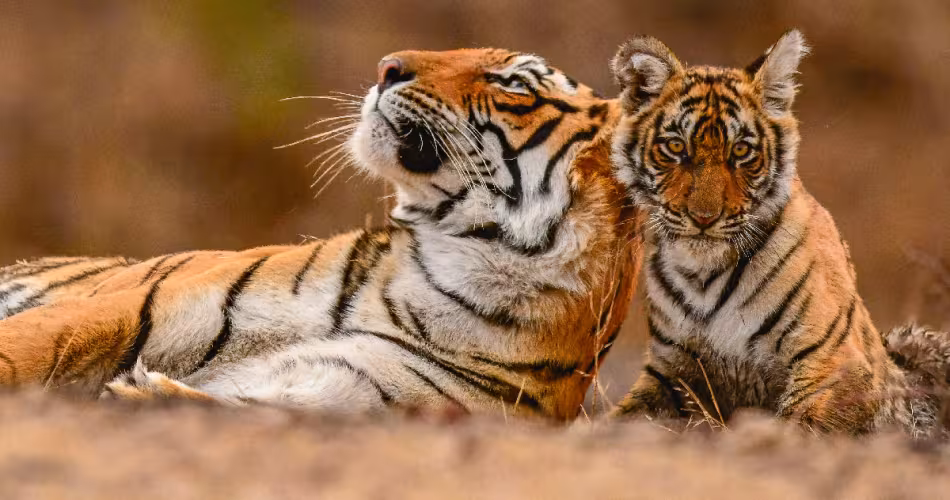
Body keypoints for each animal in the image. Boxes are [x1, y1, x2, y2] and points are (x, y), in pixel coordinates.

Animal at [0, 48, 641, 421]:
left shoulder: (346, 391)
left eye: (513, 85)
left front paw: (146, 395)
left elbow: (245, 409)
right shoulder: (139, 307)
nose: (387, 67)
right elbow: (23, 346)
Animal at [607, 30, 943, 435]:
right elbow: (619, 418)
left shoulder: (834, 361)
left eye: (741, 151)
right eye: (675, 147)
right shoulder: (671, 371)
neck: (703, 275)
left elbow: (802, 423)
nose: (704, 218)